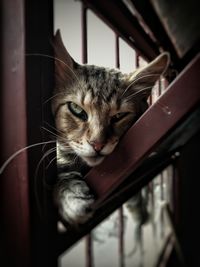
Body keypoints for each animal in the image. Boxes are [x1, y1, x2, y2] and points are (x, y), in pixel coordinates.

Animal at [52, 29, 170, 228]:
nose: (97, 145)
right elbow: (61, 170)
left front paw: (139, 210)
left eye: (119, 116)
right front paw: (72, 196)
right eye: (77, 109)